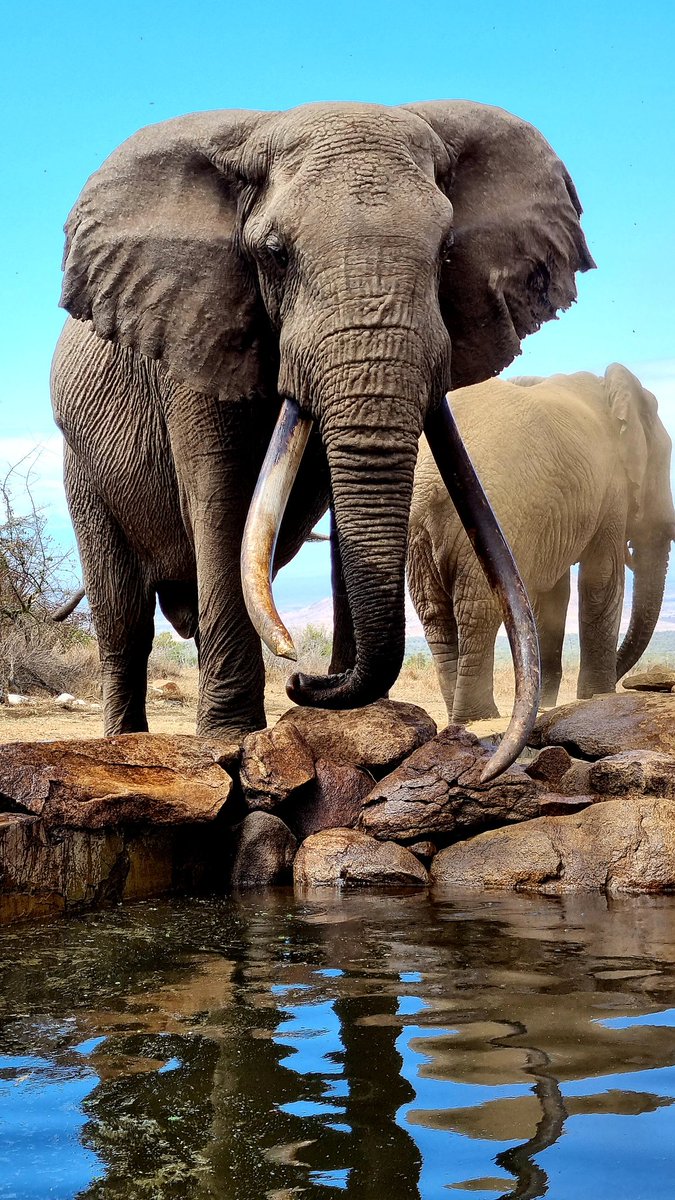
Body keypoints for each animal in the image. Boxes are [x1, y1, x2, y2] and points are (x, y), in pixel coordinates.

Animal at [51, 100, 592, 773]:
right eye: (275, 254)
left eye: (446, 252)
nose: (301, 678)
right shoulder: (194, 335)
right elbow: (223, 506)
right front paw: (230, 738)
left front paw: (357, 712)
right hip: (81, 470)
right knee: (124, 619)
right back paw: (124, 742)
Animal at [407, 364, 675, 723]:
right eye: (661, 466)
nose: (631, 683)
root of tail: (427, 482)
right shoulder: (613, 488)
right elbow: (602, 577)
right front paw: (598, 696)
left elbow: (551, 596)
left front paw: (549, 702)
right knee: (478, 612)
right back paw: (481, 717)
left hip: (418, 537)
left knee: (435, 616)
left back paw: (460, 716)